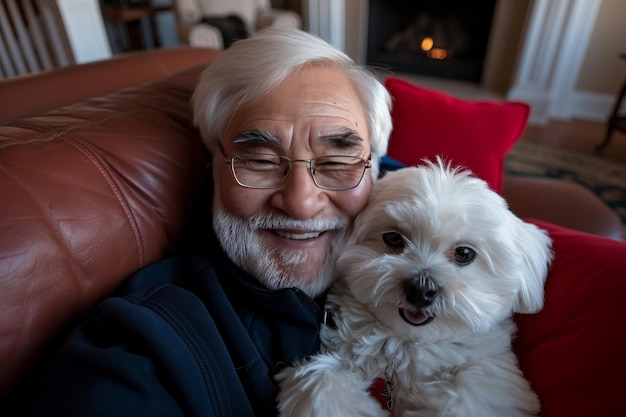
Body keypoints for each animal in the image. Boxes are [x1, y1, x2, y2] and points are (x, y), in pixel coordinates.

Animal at [276, 160, 552, 416]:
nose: (421, 290)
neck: (406, 346)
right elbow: (320, 380)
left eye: (464, 253)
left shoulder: (494, 374)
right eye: (393, 238)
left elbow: (470, 389)